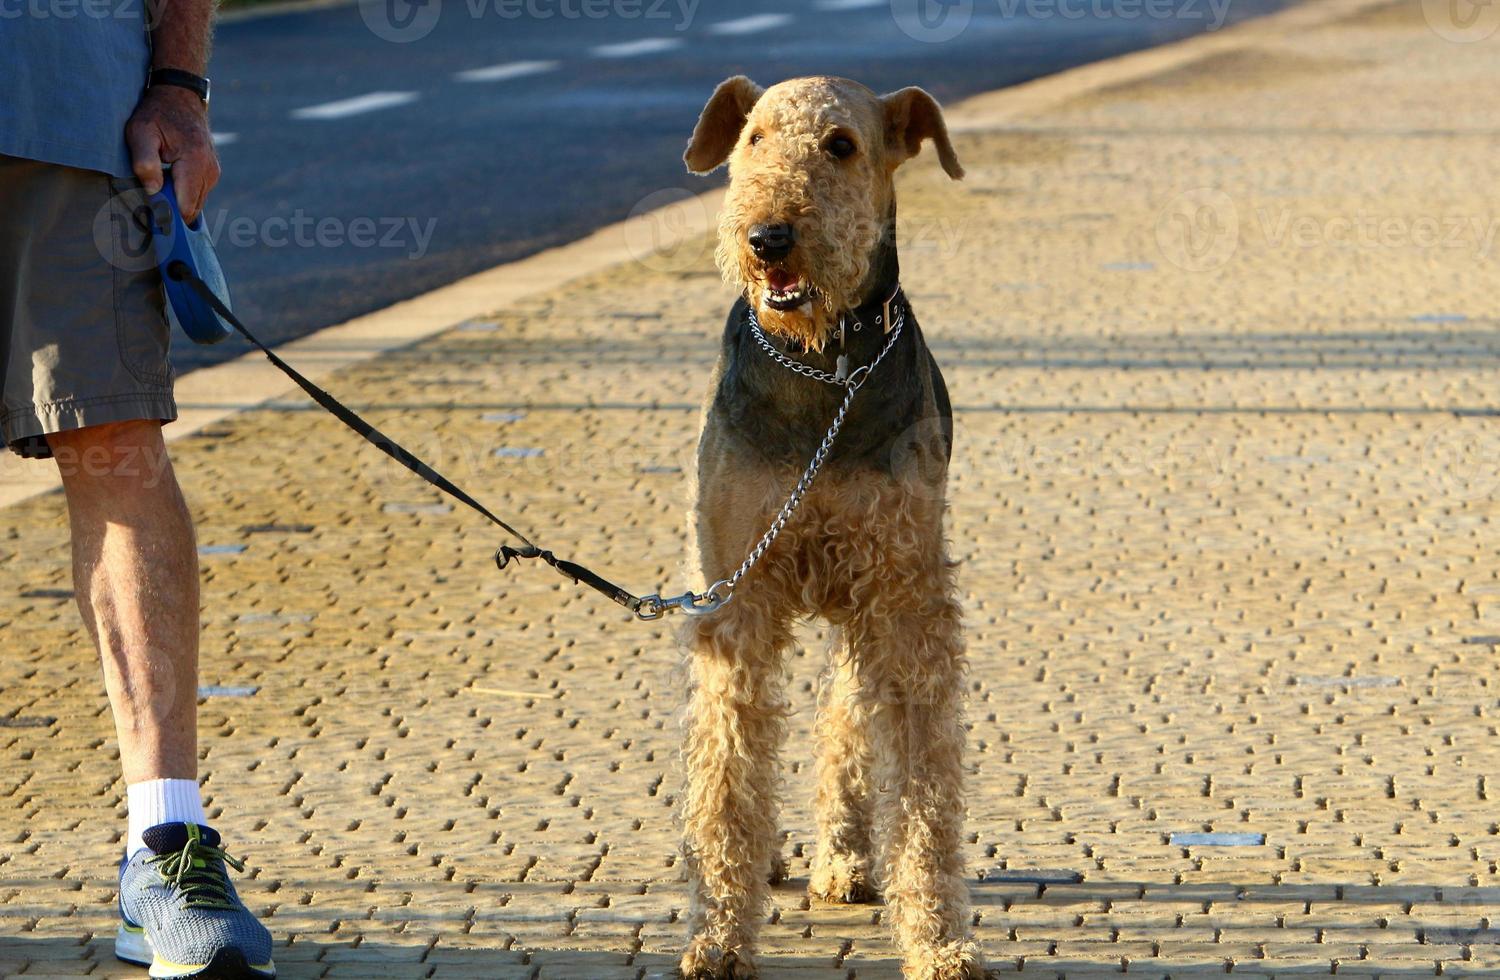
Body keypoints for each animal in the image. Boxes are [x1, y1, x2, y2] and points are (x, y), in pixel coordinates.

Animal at [681, 74, 984, 978]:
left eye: (841, 146)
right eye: (752, 139)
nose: (768, 237)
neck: (827, 368)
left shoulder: (906, 596)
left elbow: (922, 788)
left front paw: (938, 940)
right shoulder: (738, 597)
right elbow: (728, 768)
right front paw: (719, 934)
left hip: (861, 606)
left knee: (846, 721)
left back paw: (845, 858)